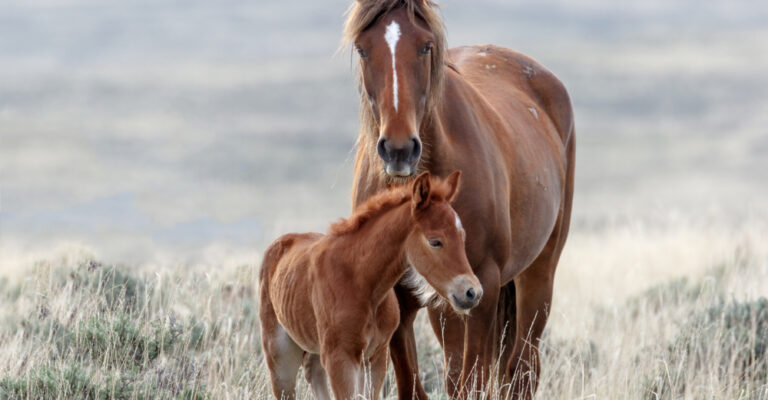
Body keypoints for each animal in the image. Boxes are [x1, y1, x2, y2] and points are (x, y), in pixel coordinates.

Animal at [259, 171, 483, 400]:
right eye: (435, 241)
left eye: (462, 237)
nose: (472, 292)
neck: (361, 282)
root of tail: (281, 243)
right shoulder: (340, 359)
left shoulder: (376, 358)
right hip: (280, 356)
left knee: (313, 373)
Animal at [343, 1, 575, 398]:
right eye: (362, 48)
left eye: (425, 46)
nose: (399, 150)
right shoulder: (402, 297)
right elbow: (415, 384)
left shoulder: (483, 284)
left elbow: (474, 382)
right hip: (448, 306)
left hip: (536, 278)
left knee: (522, 370)